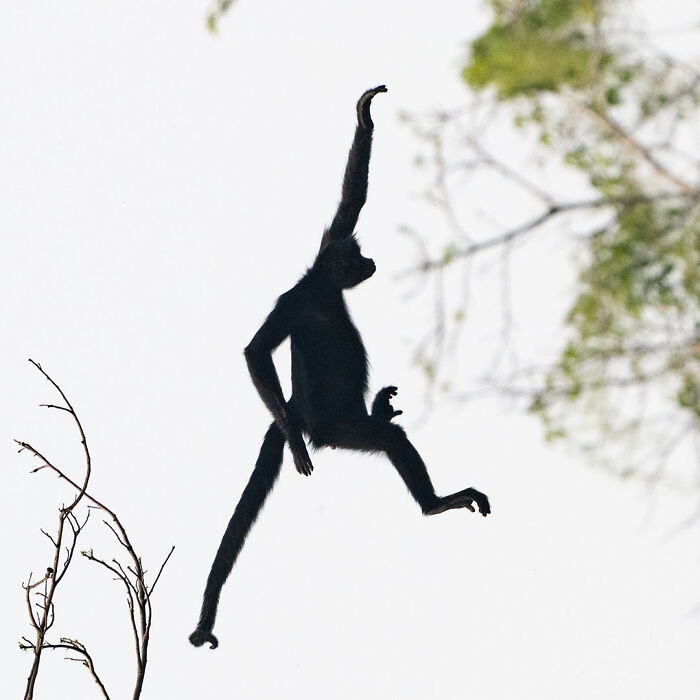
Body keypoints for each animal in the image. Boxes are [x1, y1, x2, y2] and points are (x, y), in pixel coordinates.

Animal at [189, 85, 490, 650]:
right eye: (356, 259)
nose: (370, 263)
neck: (322, 290)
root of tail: (302, 410)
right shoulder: (295, 301)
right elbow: (255, 350)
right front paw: (294, 446)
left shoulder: (325, 247)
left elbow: (352, 200)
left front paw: (364, 115)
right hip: (340, 429)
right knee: (387, 438)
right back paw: (429, 500)